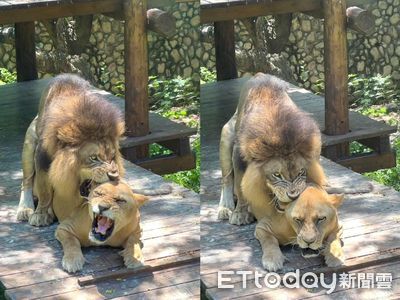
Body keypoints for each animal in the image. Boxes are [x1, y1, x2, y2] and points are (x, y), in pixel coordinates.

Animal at [16, 74, 125, 225]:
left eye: (112, 157)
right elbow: (44, 190)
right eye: (94, 157)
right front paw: (41, 214)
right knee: (26, 182)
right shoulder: (42, 158)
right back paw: (25, 209)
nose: (114, 176)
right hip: (29, 144)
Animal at [219, 73, 324, 225]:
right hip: (226, 136)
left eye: (301, 172)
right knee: (226, 180)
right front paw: (240, 214)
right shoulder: (238, 155)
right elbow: (239, 185)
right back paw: (225, 208)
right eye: (277, 174)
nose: (293, 196)